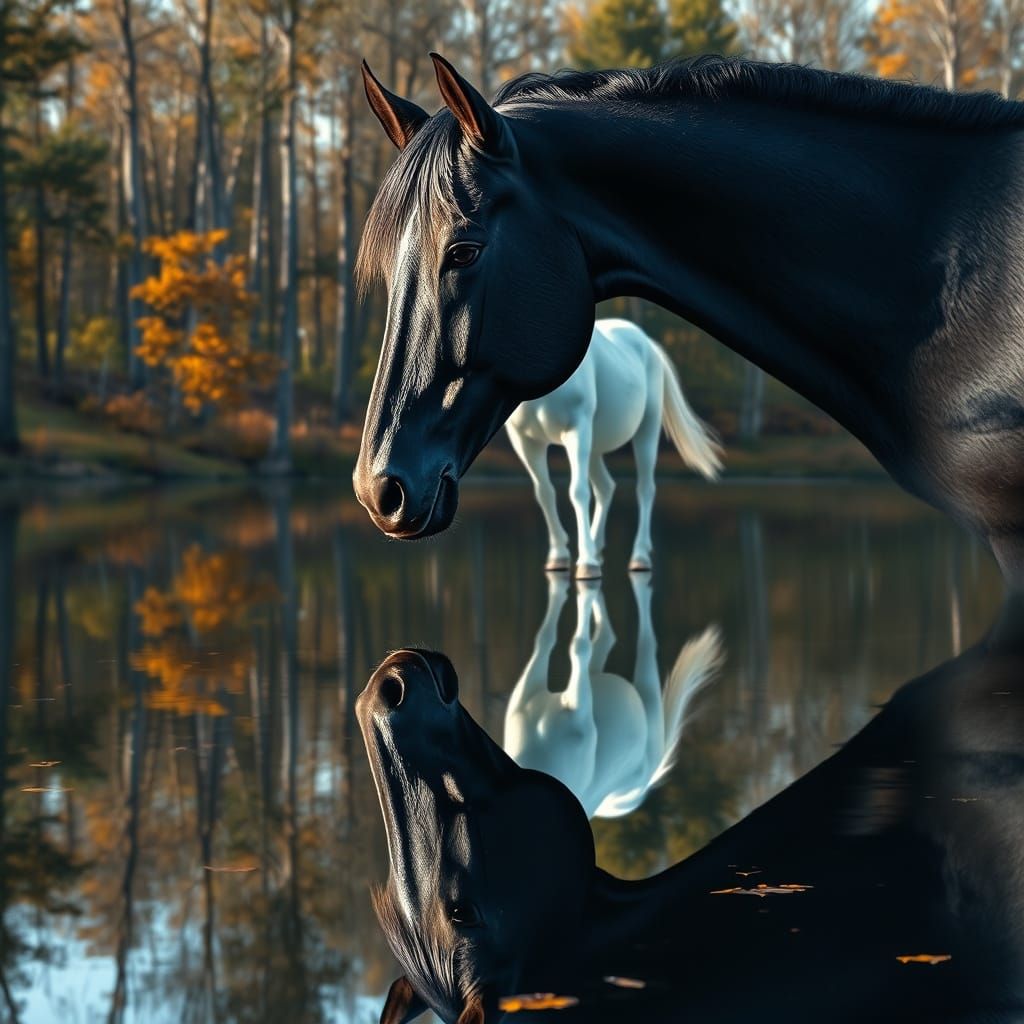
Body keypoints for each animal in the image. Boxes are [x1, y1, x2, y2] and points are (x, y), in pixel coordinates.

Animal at [503, 574, 720, 818]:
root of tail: (642, 789)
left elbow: (572, 644)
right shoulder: (529, 698)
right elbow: (552, 639)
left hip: (647, 712)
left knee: (643, 644)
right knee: (608, 639)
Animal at [505, 318, 721, 577]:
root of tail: (651, 346)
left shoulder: (577, 429)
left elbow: (578, 491)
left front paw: (587, 563)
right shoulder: (525, 440)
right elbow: (544, 493)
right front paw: (559, 556)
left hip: (646, 430)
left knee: (645, 489)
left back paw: (638, 557)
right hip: (593, 447)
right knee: (605, 487)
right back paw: (596, 547)